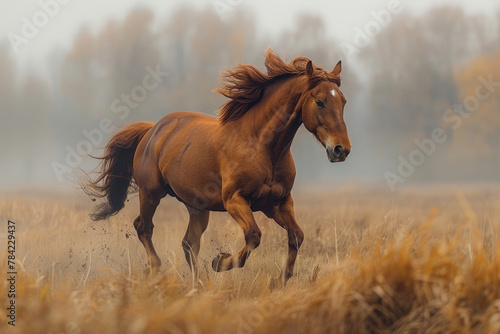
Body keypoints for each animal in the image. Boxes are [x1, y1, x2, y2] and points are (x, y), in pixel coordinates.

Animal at [85, 48, 352, 286]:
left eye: (343, 101)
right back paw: (158, 271)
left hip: (197, 207)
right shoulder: (234, 200)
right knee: (144, 227)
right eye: (319, 101)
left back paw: (198, 284)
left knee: (188, 243)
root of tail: (153, 129)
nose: (342, 149)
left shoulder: (278, 203)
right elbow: (254, 235)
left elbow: (297, 236)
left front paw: (279, 281)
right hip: (150, 192)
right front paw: (220, 261)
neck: (261, 146)